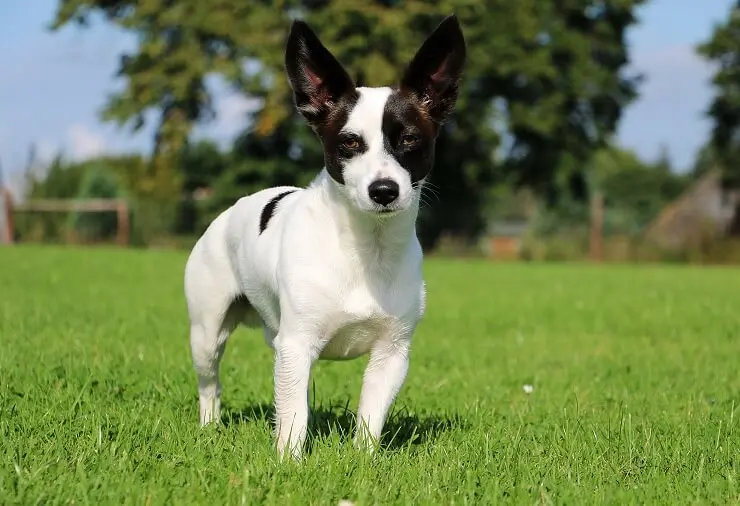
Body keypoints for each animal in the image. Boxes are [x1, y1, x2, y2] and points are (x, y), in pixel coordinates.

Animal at [183, 14, 466, 458]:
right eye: (349, 143)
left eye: (410, 139)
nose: (383, 190)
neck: (366, 250)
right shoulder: (297, 347)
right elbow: (294, 416)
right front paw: (290, 462)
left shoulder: (392, 354)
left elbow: (370, 419)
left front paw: (363, 460)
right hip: (207, 333)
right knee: (210, 385)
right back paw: (210, 427)